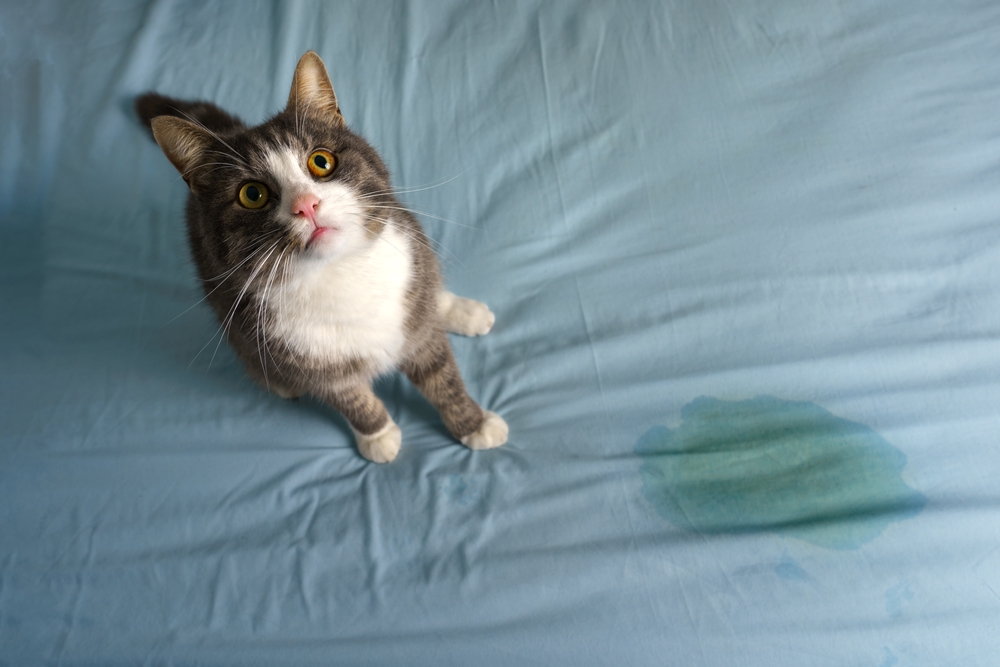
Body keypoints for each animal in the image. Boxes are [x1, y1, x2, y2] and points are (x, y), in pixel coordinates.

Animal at [134, 52, 508, 462]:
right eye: (252, 194)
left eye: (321, 162)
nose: (306, 204)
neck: (342, 273)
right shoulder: (293, 351)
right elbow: (348, 397)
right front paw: (378, 435)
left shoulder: (414, 299)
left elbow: (442, 375)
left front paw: (473, 423)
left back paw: (460, 310)